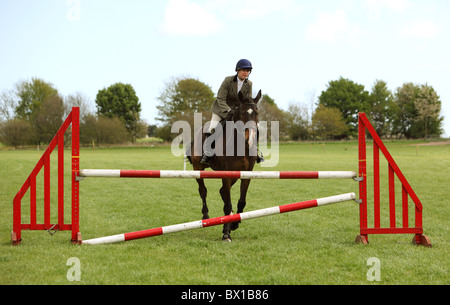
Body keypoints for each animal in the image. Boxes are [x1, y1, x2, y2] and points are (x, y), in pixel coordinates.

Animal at [187, 89, 264, 241]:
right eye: (242, 113)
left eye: (256, 113)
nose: (250, 140)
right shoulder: (226, 173)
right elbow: (227, 204)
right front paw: (226, 233)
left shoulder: (246, 174)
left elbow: (241, 201)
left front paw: (234, 223)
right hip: (198, 168)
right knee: (203, 190)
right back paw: (206, 215)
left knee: (222, 191)